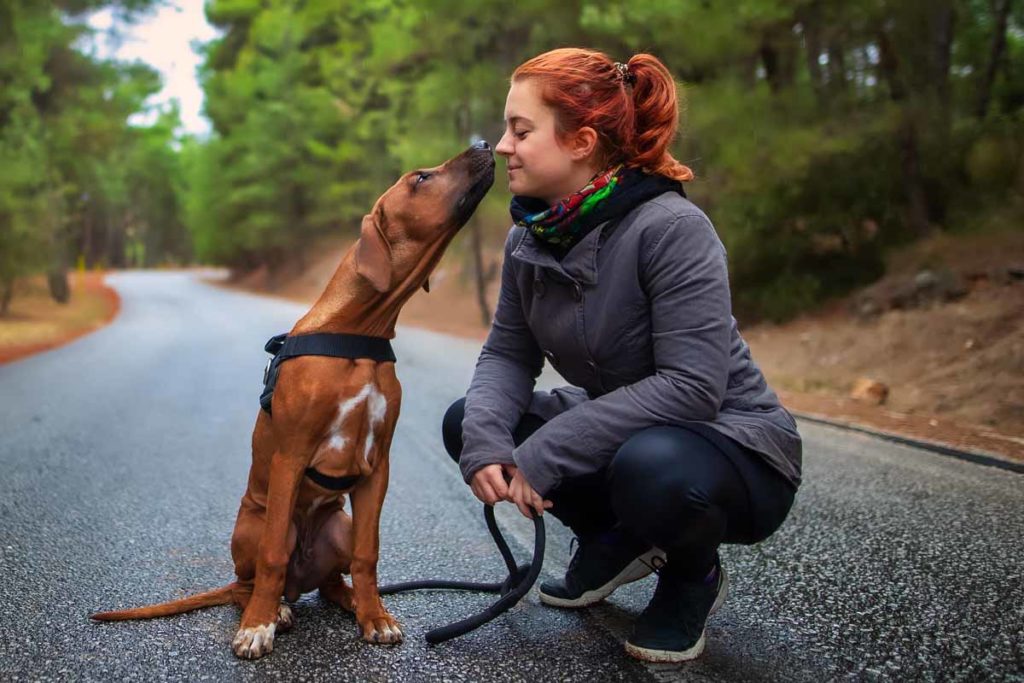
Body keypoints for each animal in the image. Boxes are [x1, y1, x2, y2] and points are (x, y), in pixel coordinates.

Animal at [92, 141, 495, 659]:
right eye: (421, 178)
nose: (484, 143)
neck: (358, 331)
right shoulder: (290, 456)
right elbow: (270, 560)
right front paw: (257, 627)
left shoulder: (379, 466)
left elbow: (368, 554)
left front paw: (374, 616)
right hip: (257, 525)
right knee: (252, 580)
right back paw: (272, 610)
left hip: (339, 524)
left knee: (329, 582)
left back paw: (347, 599)